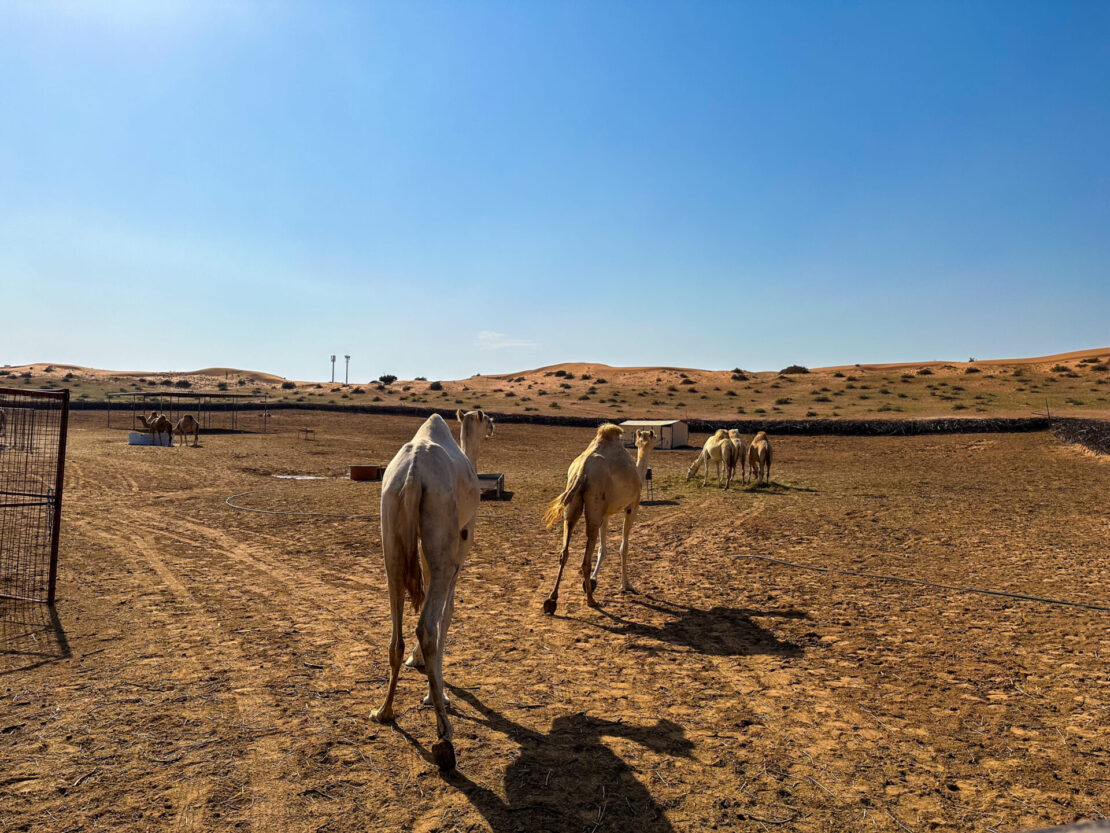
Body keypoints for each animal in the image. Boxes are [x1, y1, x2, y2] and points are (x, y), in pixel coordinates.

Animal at [370, 408, 492, 773]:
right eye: (487, 420)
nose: (494, 425)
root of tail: (412, 476)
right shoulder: (462, 544)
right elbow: (446, 615)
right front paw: (437, 694)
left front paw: (419, 665)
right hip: (444, 542)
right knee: (427, 626)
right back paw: (444, 736)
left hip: (391, 539)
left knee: (396, 631)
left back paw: (384, 711)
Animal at [541, 424, 648, 613]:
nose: (647, 438)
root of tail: (582, 471)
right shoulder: (632, 506)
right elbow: (624, 547)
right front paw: (626, 585)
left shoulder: (605, 514)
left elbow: (603, 548)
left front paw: (592, 581)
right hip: (595, 504)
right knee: (585, 558)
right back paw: (591, 600)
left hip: (574, 504)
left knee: (564, 549)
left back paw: (551, 600)